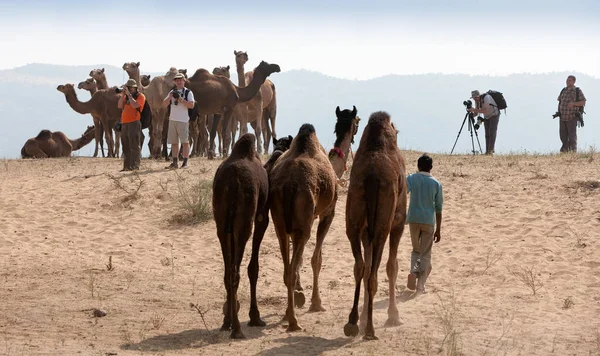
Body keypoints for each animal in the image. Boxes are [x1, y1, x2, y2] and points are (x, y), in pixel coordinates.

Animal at [211, 133, 268, 340]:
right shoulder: (262, 215)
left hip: (222, 222)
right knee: (235, 272)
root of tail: (232, 182)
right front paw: (255, 317)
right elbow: (254, 268)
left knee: (228, 272)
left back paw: (227, 323)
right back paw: (237, 329)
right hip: (244, 221)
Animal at [342, 112, 408, 342]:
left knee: (360, 266)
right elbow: (392, 266)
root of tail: (372, 177)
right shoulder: (398, 222)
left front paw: (361, 319)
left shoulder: (364, 231)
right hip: (382, 225)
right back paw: (370, 330)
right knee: (372, 272)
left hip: (353, 217)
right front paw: (394, 316)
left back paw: (353, 323)